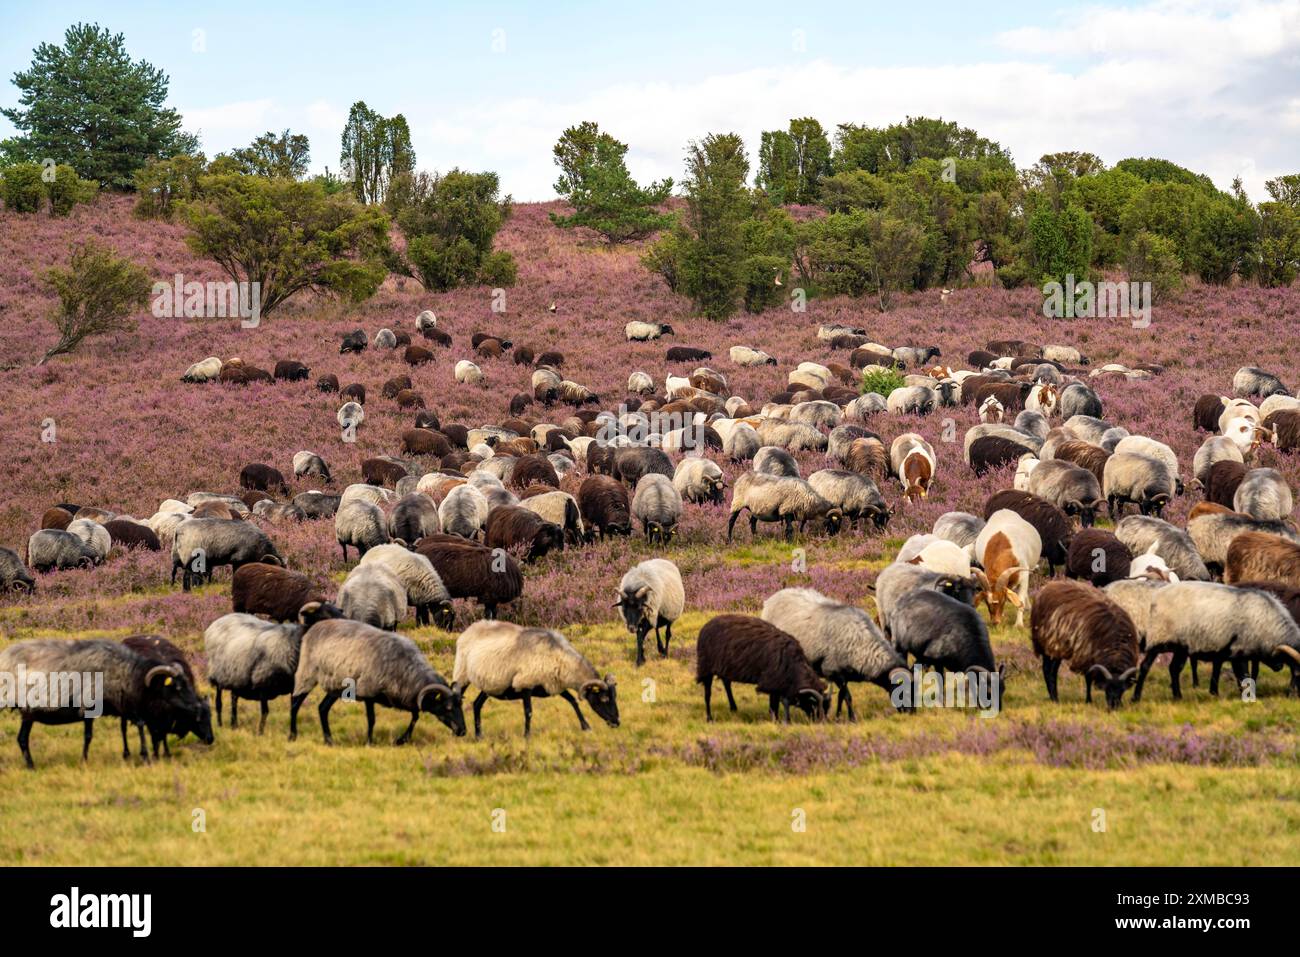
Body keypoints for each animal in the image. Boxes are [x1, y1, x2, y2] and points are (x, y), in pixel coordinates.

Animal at [0, 639, 210, 764]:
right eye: (177, 687)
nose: (196, 705)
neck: (127, 674)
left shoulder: (128, 707)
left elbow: (141, 725)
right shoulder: (89, 709)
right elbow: (89, 736)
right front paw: (84, 760)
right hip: (26, 711)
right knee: (22, 739)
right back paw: (31, 766)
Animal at [457, 616, 618, 738]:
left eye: (614, 697)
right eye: (604, 699)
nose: (617, 722)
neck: (558, 657)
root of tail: (470, 628)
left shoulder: (553, 685)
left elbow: (573, 701)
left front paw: (586, 726)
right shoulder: (526, 685)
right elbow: (528, 712)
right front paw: (527, 736)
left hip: (489, 685)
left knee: (477, 704)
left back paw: (479, 735)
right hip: (462, 674)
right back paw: (460, 731)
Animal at [696, 616, 826, 722]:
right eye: (813, 703)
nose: (820, 722)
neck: (793, 667)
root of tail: (705, 627)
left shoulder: (777, 683)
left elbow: (773, 705)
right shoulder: (773, 682)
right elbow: (773, 706)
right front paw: (776, 721)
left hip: (725, 668)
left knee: (726, 683)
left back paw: (733, 708)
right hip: (706, 668)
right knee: (708, 694)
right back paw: (709, 718)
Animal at [759, 587, 904, 722]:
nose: (908, 712)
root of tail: (772, 599)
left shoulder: (843, 675)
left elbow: (841, 696)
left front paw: (838, 717)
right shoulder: (833, 671)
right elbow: (847, 696)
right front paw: (852, 718)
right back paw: (775, 716)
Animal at [1024, 579, 1138, 707]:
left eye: (1122, 689)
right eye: (1107, 687)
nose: (1113, 706)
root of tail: (1045, 588)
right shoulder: (1086, 655)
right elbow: (1088, 679)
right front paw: (1088, 700)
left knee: (1051, 670)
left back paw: (1054, 697)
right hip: (1050, 643)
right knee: (1048, 670)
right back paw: (1055, 699)